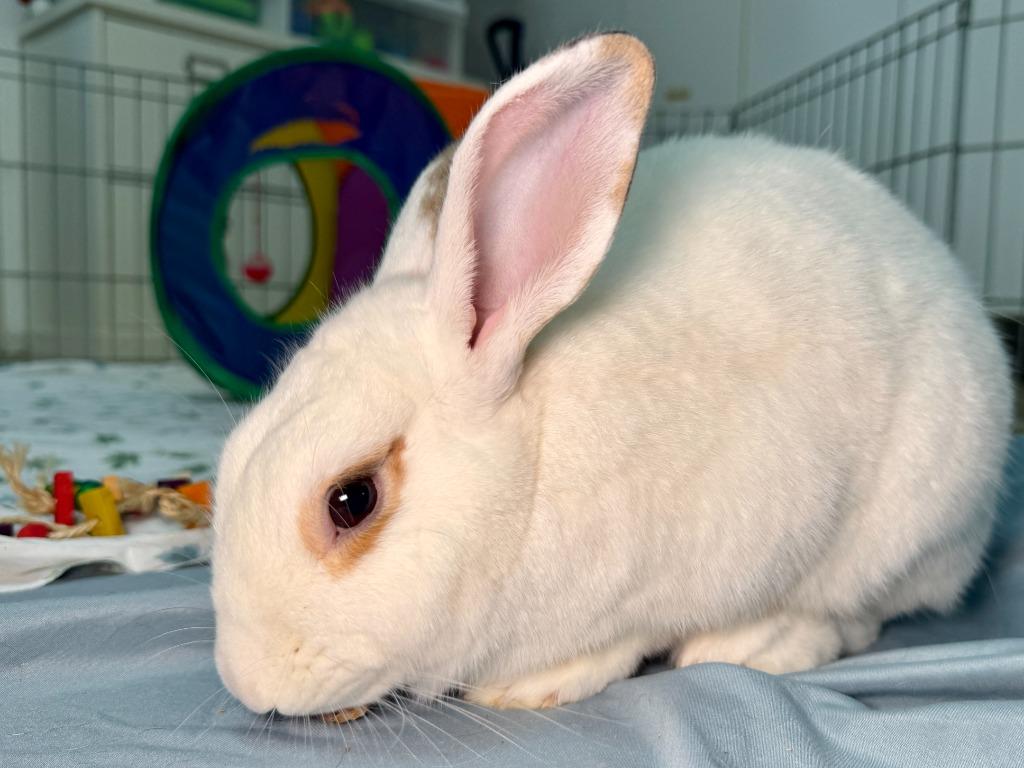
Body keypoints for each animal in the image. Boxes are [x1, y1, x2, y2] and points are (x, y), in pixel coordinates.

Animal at [210, 33, 1012, 717]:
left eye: (352, 499)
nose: (249, 685)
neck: (533, 463)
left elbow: (625, 641)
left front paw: (529, 687)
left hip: (904, 525)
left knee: (855, 616)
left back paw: (754, 643)